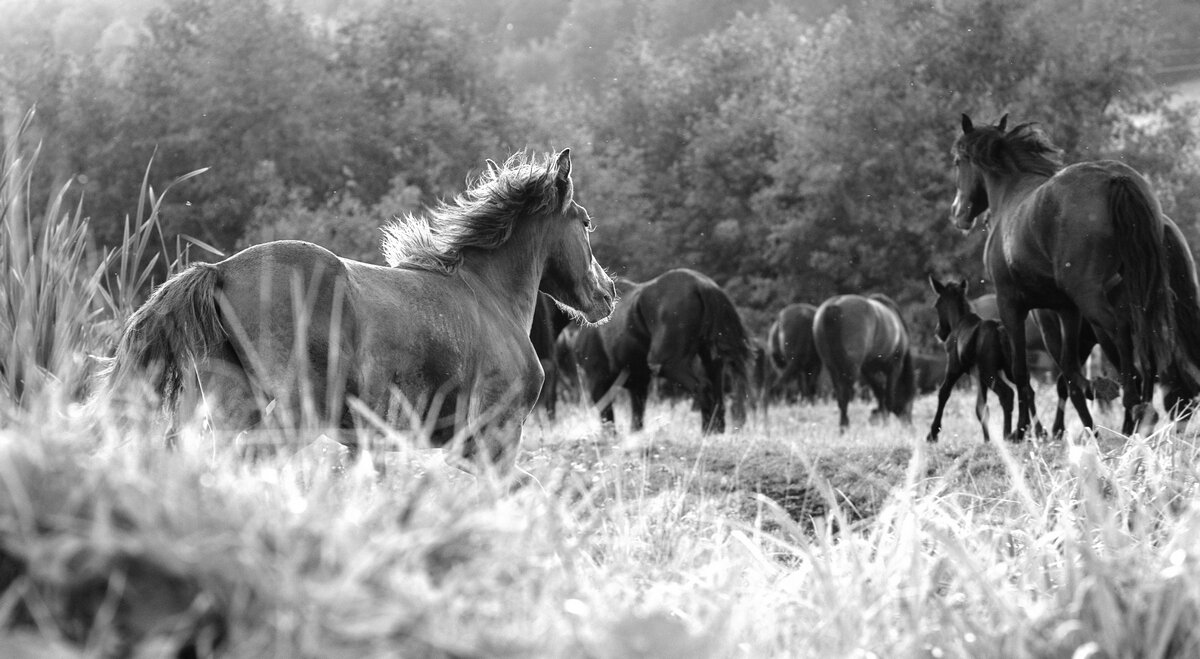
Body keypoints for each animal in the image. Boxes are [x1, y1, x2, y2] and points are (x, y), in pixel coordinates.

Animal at [105, 149, 619, 470]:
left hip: (229, 406)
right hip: (295, 414)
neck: (488, 297)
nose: (608, 294)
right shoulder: (495, 439)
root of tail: (221, 269)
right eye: (586, 223)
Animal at [571, 267, 748, 432]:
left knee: (703, 389)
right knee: (718, 396)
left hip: (667, 364)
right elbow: (636, 422)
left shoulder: (598, 381)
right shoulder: (638, 383)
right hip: (712, 361)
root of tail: (702, 285)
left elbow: (608, 421)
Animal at [811, 291, 912, 427]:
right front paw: (885, 421)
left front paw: (879, 414)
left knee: (841, 397)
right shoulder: (895, 365)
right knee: (845, 395)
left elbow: (879, 391)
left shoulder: (867, 368)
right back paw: (845, 425)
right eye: (910, 403)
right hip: (851, 368)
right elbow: (888, 396)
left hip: (832, 366)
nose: (909, 425)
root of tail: (834, 306)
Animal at [921, 272, 1017, 441]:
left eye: (936, 305)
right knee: (1026, 390)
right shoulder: (978, 377)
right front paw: (987, 439)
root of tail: (1000, 330)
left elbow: (943, 393)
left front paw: (933, 434)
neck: (958, 321)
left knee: (1007, 394)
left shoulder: (953, 368)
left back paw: (1007, 434)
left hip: (989, 373)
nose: (939, 332)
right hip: (1009, 369)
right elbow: (981, 409)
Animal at [945, 115, 1200, 439]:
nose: (958, 213)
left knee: (1123, 337)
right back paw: (1139, 413)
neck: (1011, 198)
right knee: (1145, 343)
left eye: (957, 161)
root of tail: (1115, 179)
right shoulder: (1066, 311)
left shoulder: (1013, 306)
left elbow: (1025, 373)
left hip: (1089, 298)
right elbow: (1068, 373)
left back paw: (1132, 405)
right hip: (1138, 297)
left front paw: (1025, 430)